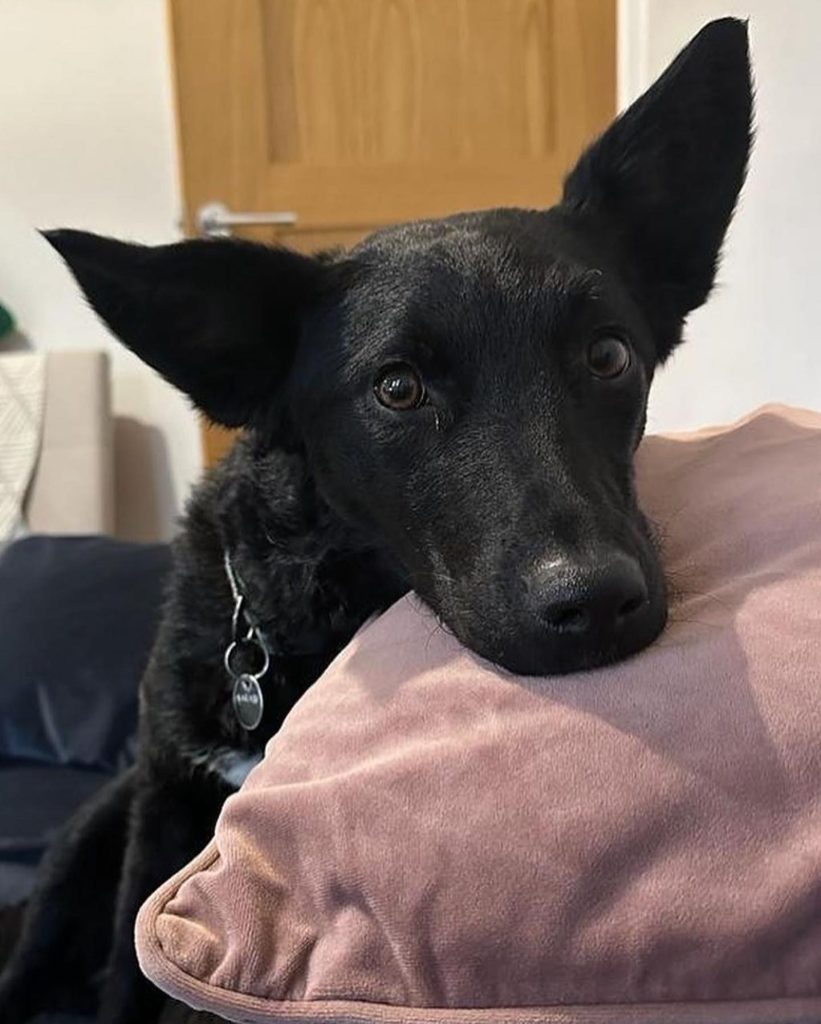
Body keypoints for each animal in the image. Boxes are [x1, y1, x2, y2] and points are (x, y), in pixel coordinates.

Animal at [0, 18, 749, 1024]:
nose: (593, 602)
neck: (297, 606)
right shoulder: (161, 809)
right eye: (397, 388)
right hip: (85, 842)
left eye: (607, 355)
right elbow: (128, 980)